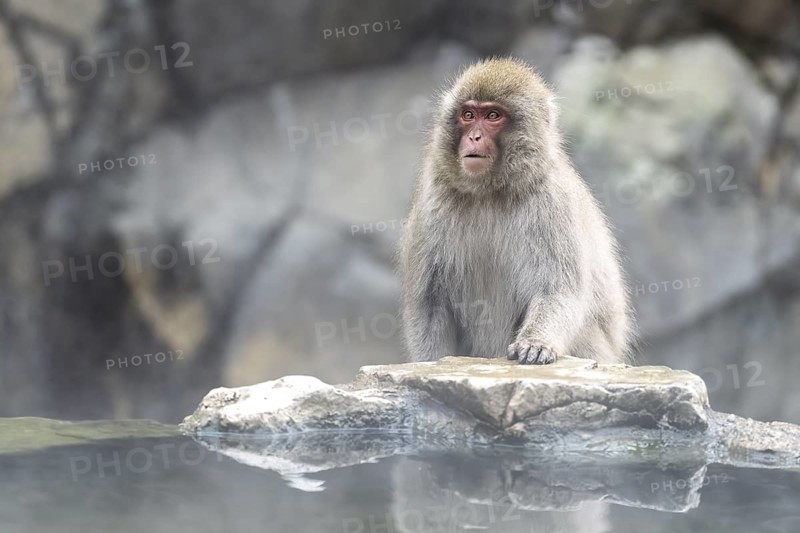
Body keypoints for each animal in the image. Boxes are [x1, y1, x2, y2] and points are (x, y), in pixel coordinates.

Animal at [399, 57, 632, 365]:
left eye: (493, 115)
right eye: (468, 114)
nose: (473, 137)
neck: (488, 193)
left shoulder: (552, 203)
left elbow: (558, 290)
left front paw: (536, 343)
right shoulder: (432, 201)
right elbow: (429, 303)